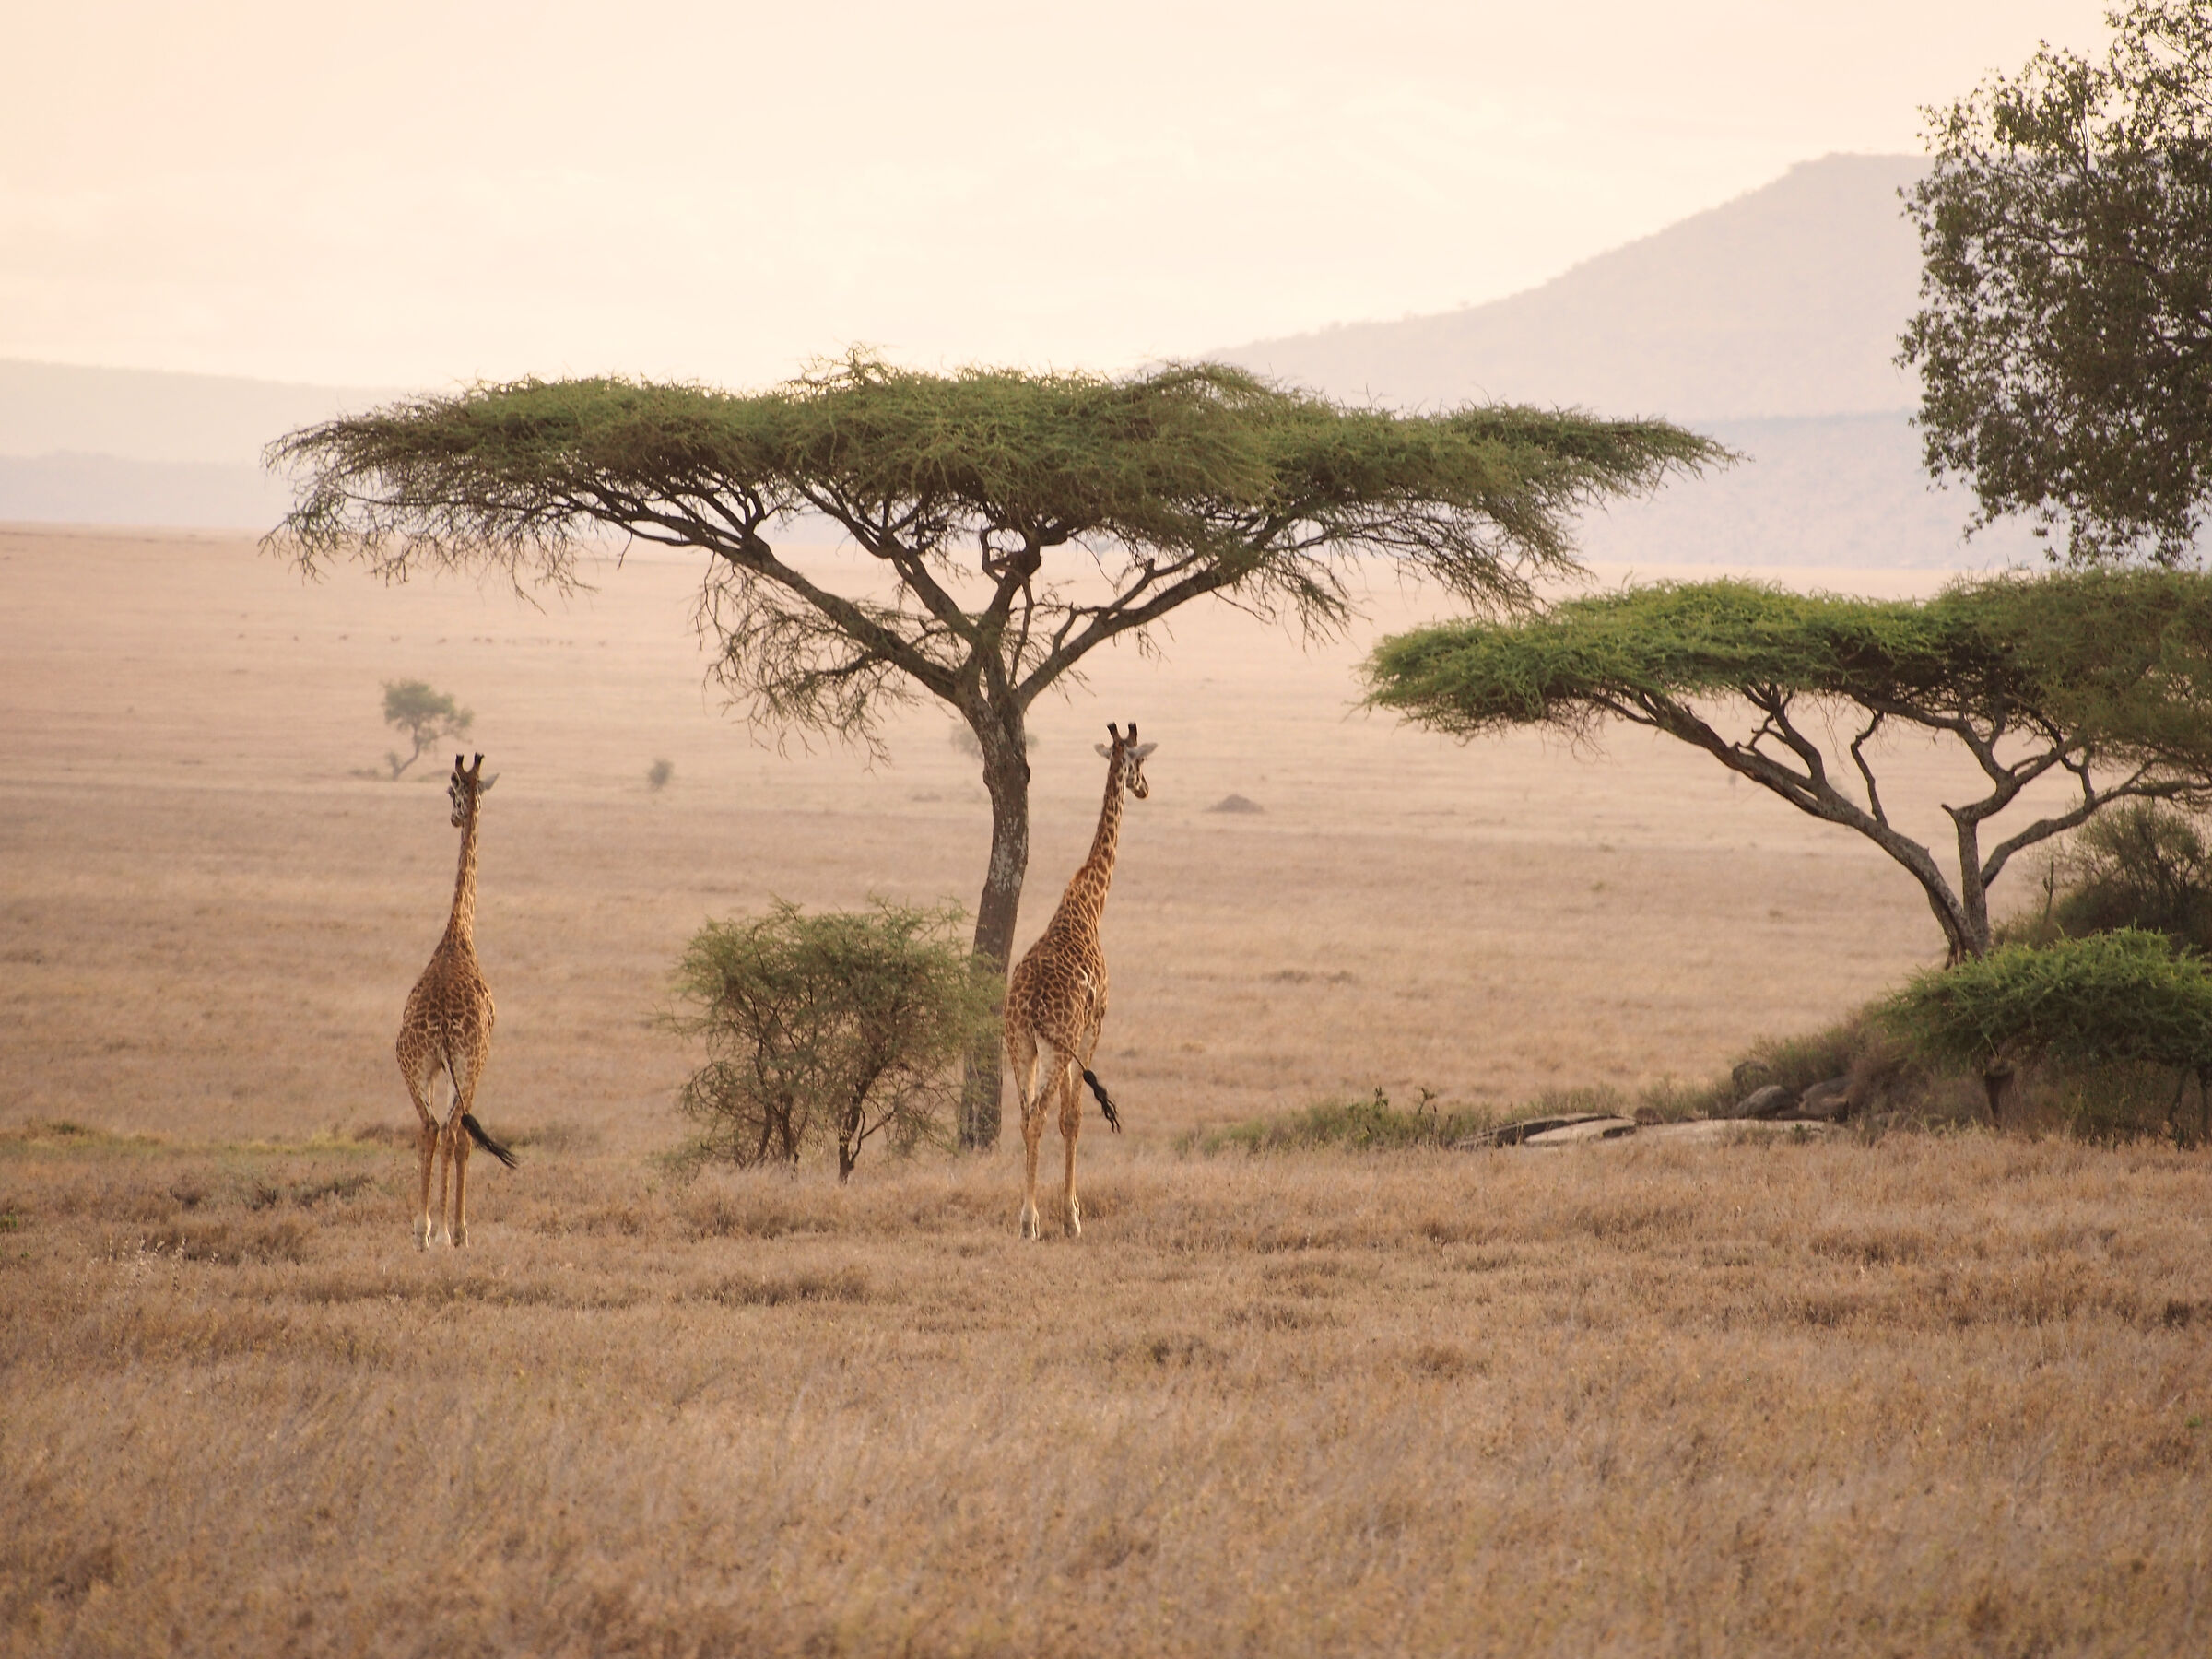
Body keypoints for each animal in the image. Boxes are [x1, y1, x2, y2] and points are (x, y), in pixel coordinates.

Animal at [1004, 721, 1155, 1239]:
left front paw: (1067, 1212)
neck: (1090, 902)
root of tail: (1026, 1005)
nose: (1146, 789)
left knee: (1024, 1115)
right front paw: (1071, 1218)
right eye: (1140, 764)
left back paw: (1024, 1216)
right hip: (1052, 1044)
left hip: (1019, 1045)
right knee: (1041, 1114)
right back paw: (1028, 1222)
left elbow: (1066, 1117)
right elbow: (1074, 1117)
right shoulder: (1091, 1029)